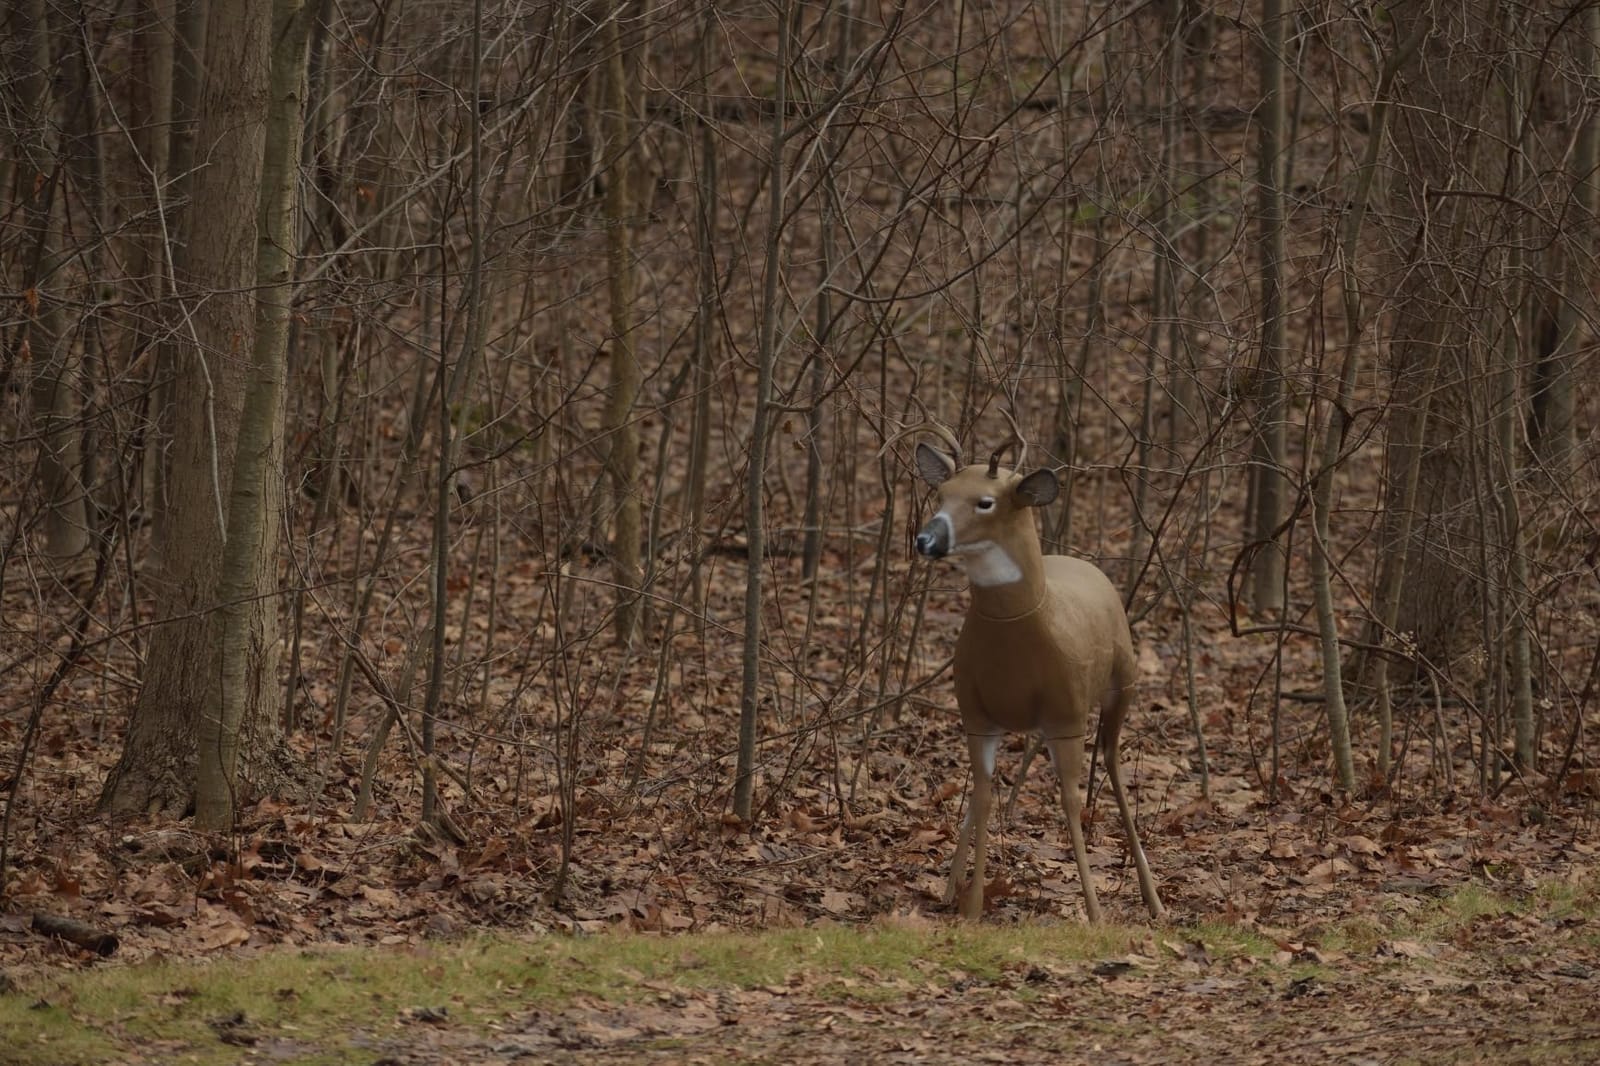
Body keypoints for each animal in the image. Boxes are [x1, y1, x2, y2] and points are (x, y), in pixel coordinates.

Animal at [913, 429, 1164, 922]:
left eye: (985, 502)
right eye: (941, 493)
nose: (926, 539)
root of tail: (1084, 562)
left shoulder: (1066, 716)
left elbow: (1069, 801)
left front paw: (1095, 912)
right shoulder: (975, 714)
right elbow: (982, 797)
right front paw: (972, 907)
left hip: (1122, 684)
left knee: (1112, 762)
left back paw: (1154, 899)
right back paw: (949, 890)